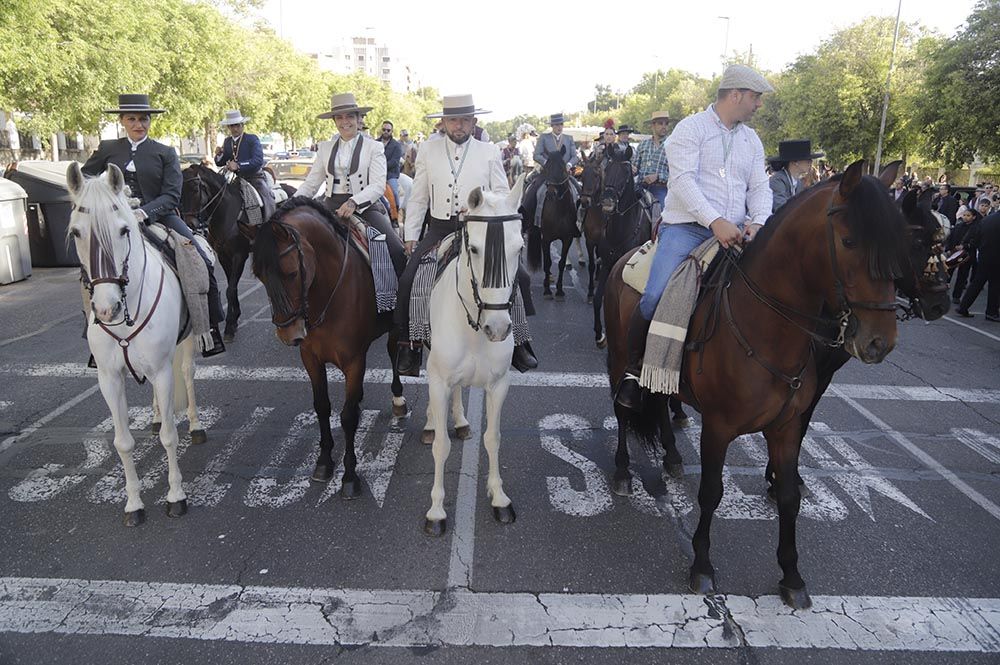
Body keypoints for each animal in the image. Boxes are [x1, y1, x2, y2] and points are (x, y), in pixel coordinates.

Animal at [67, 162, 205, 524]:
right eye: (76, 233)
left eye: (123, 231)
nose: (106, 308)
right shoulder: (110, 378)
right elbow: (122, 442)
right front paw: (133, 503)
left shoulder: (162, 371)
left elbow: (170, 437)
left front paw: (176, 496)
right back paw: (155, 416)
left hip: (186, 345)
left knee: (187, 375)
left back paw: (196, 425)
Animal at [250, 197, 406, 498]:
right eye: (259, 276)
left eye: (292, 273)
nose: (288, 334)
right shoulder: (310, 358)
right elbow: (322, 407)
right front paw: (323, 462)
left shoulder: (354, 360)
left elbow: (347, 418)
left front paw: (350, 475)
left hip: (393, 329)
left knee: (393, 354)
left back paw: (398, 399)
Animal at [422, 178, 528, 536]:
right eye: (475, 249)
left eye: (519, 248)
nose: (498, 328)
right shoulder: (438, 380)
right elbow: (441, 446)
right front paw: (436, 511)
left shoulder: (499, 385)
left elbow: (493, 439)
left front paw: (500, 498)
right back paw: (431, 421)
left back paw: (460, 420)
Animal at [524, 148, 580, 300]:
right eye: (547, 169)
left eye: (562, 168)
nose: (550, 193)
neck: (560, 209)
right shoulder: (547, 239)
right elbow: (548, 262)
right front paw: (547, 290)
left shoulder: (567, 239)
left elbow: (561, 263)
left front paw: (559, 290)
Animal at [600, 160, 908, 608]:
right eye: (849, 241)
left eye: (898, 245)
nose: (879, 341)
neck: (767, 328)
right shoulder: (718, 427)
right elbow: (711, 493)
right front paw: (702, 565)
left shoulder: (786, 427)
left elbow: (789, 496)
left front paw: (792, 575)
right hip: (621, 358)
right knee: (623, 410)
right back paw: (623, 470)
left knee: (657, 405)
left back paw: (672, 456)